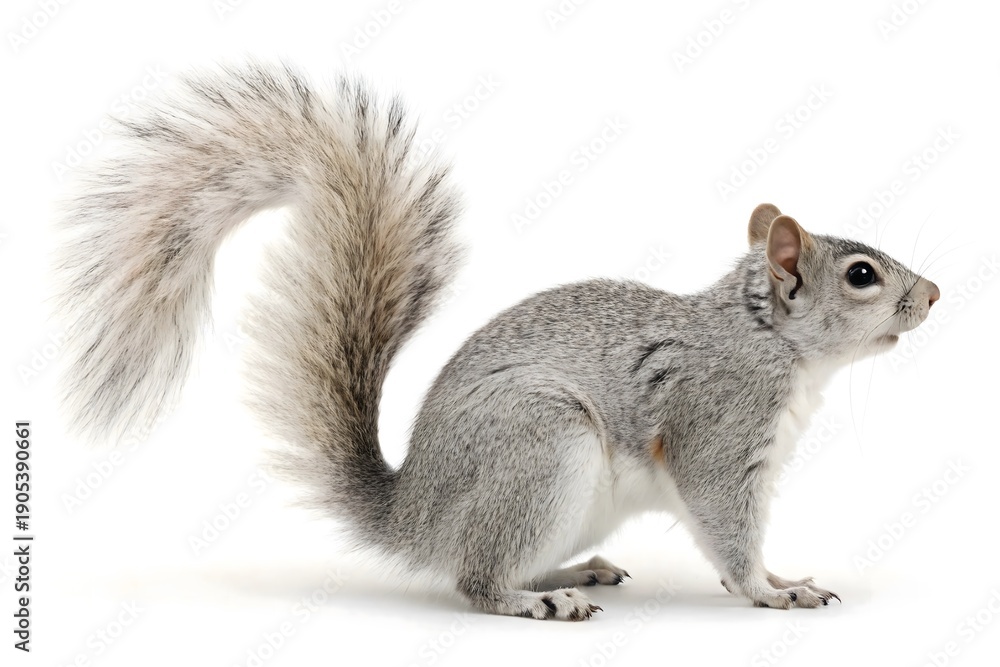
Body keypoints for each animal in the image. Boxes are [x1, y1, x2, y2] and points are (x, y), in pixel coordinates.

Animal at [57, 63, 940, 621]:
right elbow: (726, 522)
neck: (770, 342)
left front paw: (781, 576)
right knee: (474, 577)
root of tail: (411, 516)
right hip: (541, 445)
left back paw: (575, 568)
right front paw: (773, 589)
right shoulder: (720, 425)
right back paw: (538, 599)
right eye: (862, 275)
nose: (933, 294)